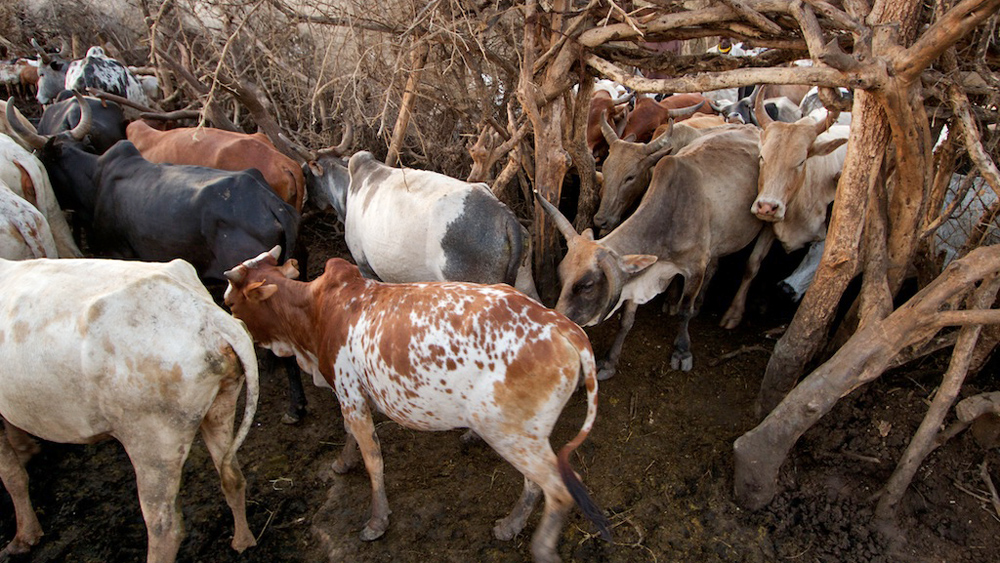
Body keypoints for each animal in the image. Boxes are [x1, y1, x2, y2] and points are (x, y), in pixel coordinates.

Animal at [0, 258, 262, 560]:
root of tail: (207, 316)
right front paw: (26, 450)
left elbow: (11, 474)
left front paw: (24, 536)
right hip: (220, 405)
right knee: (232, 476)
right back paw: (242, 540)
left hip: (152, 440)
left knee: (165, 527)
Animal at [224, 249, 608, 563]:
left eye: (231, 303)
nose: (240, 332)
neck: (315, 313)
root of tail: (563, 326)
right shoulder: (351, 394)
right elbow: (351, 438)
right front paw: (342, 463)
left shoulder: (349, 395)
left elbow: (373, 460)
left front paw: (377, 520)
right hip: (528, 435)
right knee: (537, 484)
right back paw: (511, 525)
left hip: (508, 433)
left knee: (559, 490)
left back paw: (541, 547)